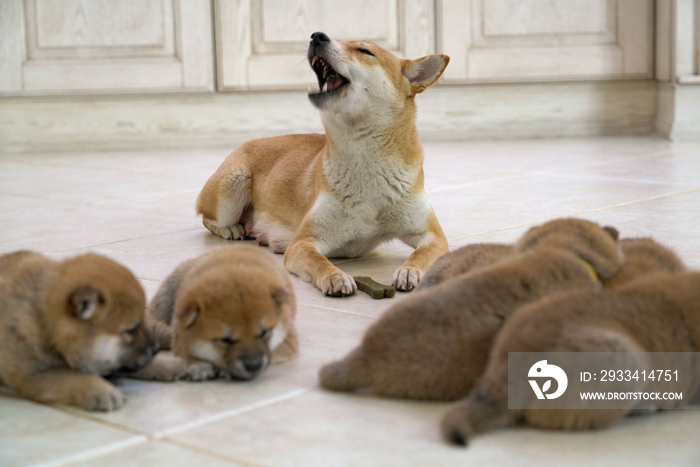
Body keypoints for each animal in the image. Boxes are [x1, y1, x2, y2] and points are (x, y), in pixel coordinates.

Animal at [0, 250, 157, 412]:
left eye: (144, 318)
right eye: (132, 330)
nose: (156, 349)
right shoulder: (32, 374)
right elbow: (72, 377)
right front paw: (103, 391)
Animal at [144, 243, 300, 382]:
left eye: (264, 333)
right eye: (226, 340)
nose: (253, 366)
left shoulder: (288, 338)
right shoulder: (180, 335)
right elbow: (185, 351)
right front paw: (198, 366)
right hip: (167, 292)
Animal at [197, 32, 448, 296]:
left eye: (365, 51)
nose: (317, 36)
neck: (365, 161)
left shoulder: (432, 235)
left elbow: (422, 254)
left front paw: (410, 270)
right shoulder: (303, 242)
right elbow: (319, 261)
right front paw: (335, 276)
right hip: (233, 186)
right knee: (207, 219)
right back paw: (232, 229)